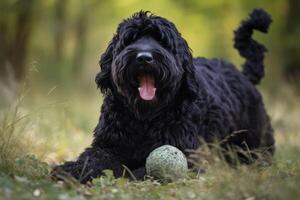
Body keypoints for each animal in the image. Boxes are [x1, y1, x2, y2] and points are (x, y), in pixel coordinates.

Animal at [53, 9, 274, 184]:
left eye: (162, 41)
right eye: (130, 39)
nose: (144, 58)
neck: (144, 118)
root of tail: (244, 75)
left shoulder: (191, 155)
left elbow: (144, 170)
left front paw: (130, 175)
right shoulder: (107, 145)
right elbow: (92, 158)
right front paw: (70, 169)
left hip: (254, 142)